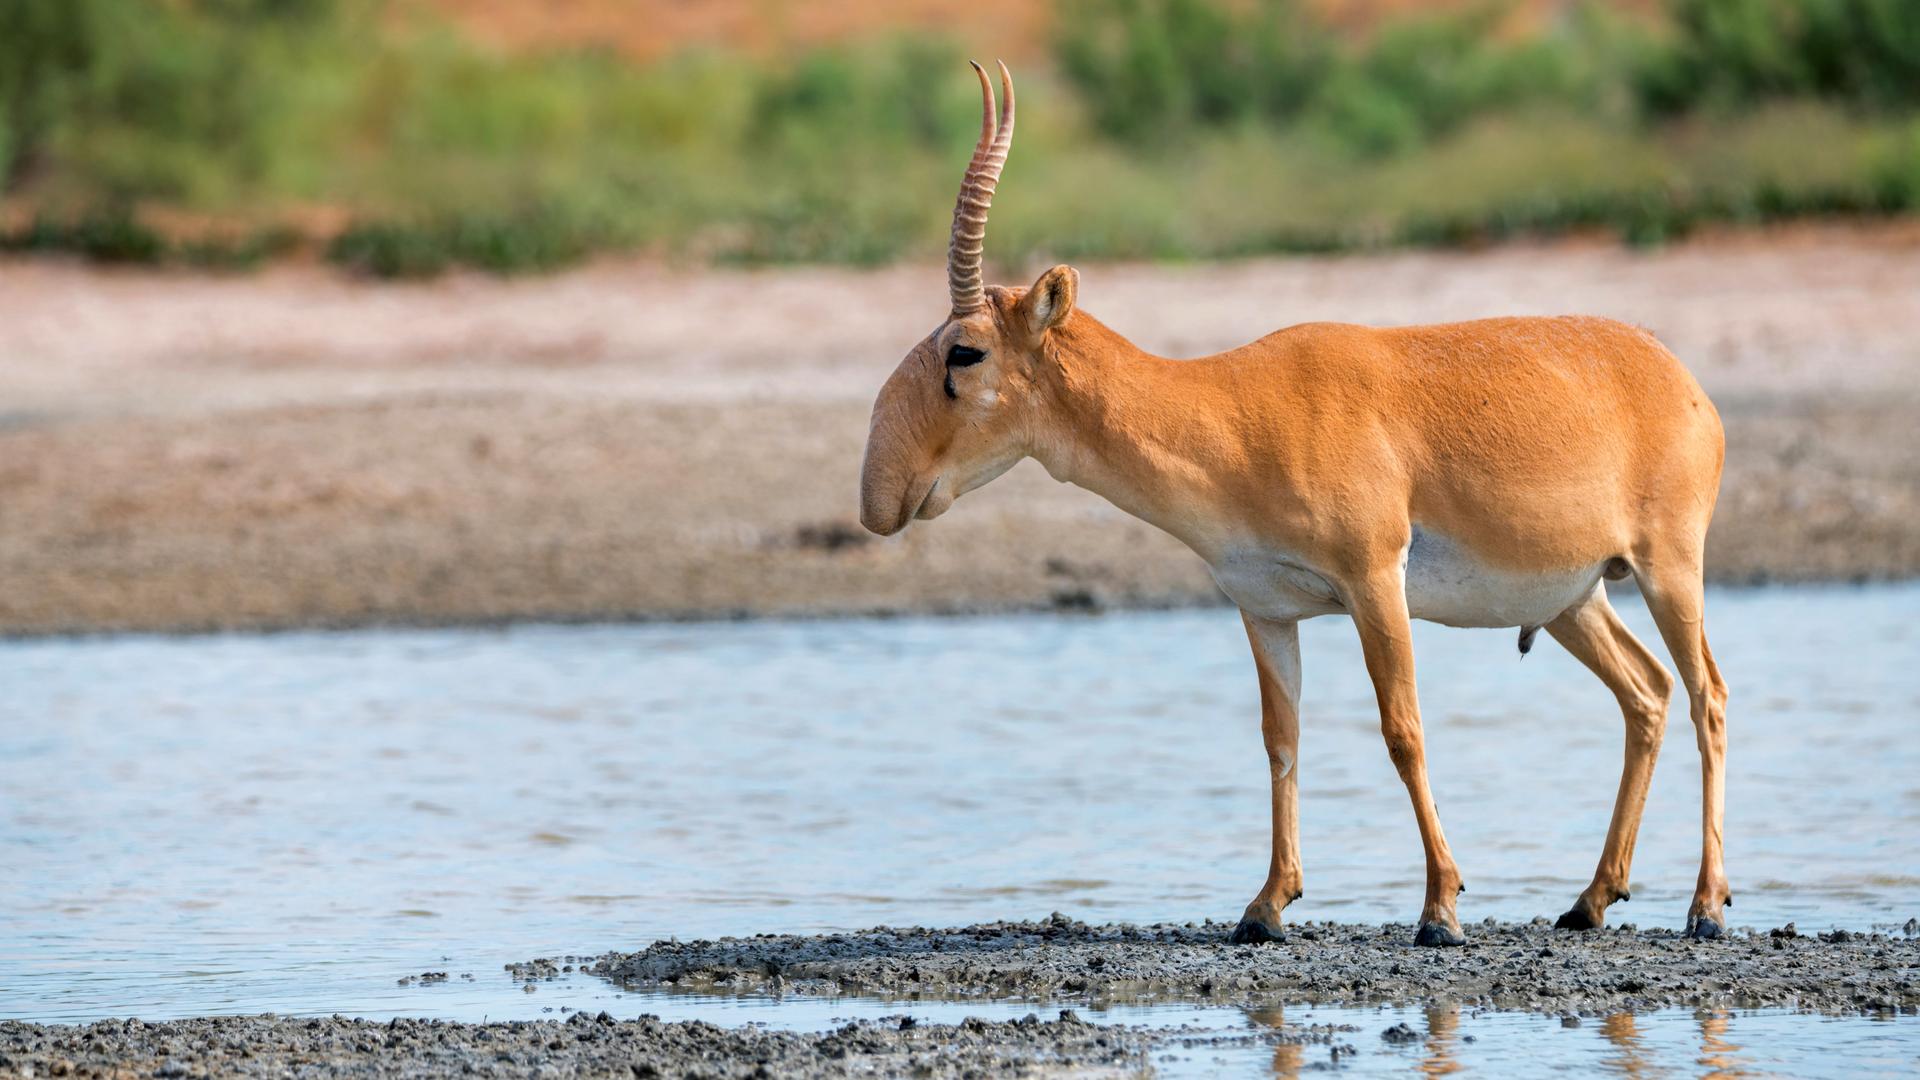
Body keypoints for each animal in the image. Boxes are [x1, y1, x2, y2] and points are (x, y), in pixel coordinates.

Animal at [864, 65, 1735, 941]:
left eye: (964, 351)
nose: (881, 501)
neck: (1231, 411)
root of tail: (1676, 374)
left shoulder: (1374, 584)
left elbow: (1402, 731)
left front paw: (1439, 909)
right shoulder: (1266, 610)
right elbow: (1279, 740)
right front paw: (1265, 905)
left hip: (1667, 569)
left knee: (1708, 697)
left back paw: (1706, 905)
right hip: (1572, 601)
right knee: (1648, 694)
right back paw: (1590, 900)